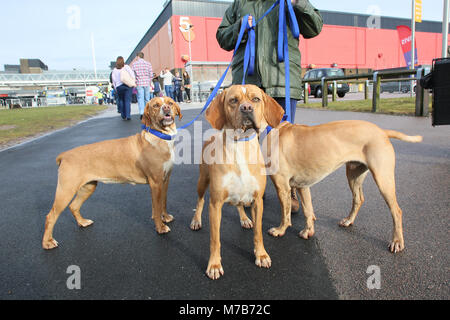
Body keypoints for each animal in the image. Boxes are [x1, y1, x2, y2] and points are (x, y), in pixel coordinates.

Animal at [41, 97, 183, 250]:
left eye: (170, 103)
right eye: (156, 105)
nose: (166, 108)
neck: (160, 137)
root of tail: (64, 155)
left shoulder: (165, 179)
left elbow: (162, 202)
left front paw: (165, 217)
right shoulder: (155, 182)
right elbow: (156, 208)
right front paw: (160, 227)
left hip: (88, 187)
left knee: (74, 206)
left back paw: (82, 222)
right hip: (66, 190)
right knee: (51, 216)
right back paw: (47, 242)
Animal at [191, 84, 284, 280]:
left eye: (255, 99)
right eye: (233, 100)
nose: (246, 108)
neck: (241, 145)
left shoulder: (257, 201)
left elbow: (258, 233)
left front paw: (261, 255)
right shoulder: (215, 204)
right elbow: (215, 239)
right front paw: (214, 264)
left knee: (240, 204)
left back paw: (244, 219)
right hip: (202, 182)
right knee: (200, 201)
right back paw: (196, 220)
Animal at [264, 120, 422, 252]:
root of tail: (382, 131)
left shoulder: (282, 187)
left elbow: (285, 214)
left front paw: (280, 230)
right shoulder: (302, 186)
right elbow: (308, 211)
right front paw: (308, 231)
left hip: (383, 180)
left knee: (396, 211)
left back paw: (397, 241)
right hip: (353, 175)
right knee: (358, 199)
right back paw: (348, 220)